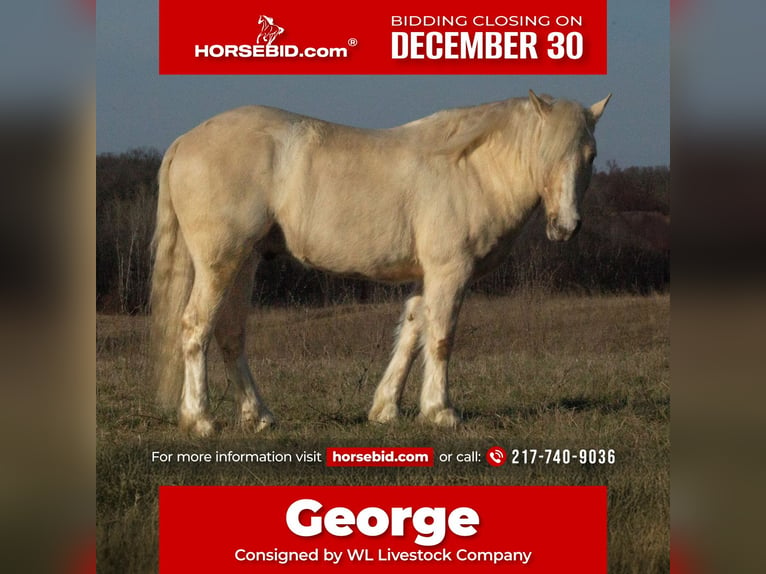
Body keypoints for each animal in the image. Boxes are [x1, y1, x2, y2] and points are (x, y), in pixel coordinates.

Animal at [152, 91, 612, 436]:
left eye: (590, 155)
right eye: (545, 152)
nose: (566, 226)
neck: (469, 169)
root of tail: (185, 141)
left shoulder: (427, 276)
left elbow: (411, 335)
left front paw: (386, 409)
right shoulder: (450, 272)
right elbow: (441, 338)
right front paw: (441, 411)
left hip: (243, 261)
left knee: (229, 333)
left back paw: (258, 417)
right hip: (220, 261)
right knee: (196, 326)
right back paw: (200, 419)